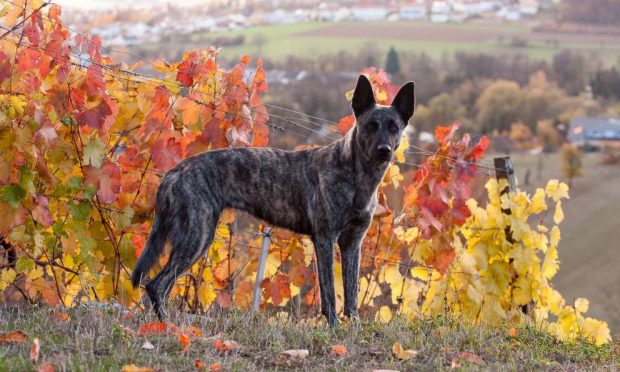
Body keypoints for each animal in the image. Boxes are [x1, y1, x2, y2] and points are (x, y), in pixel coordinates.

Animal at [131, 75, 414, 326]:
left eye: (394, 127)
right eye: (371, 125)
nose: (384, 151)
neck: (355, 174)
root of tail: (174, 172)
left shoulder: (352, 243)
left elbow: (351, 293)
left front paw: (353, 328)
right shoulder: (325, 239)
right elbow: (329, 294)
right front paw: (334, 327)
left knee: (161, 285)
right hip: (197, 237)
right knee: (156, 285)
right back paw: (169, 326)